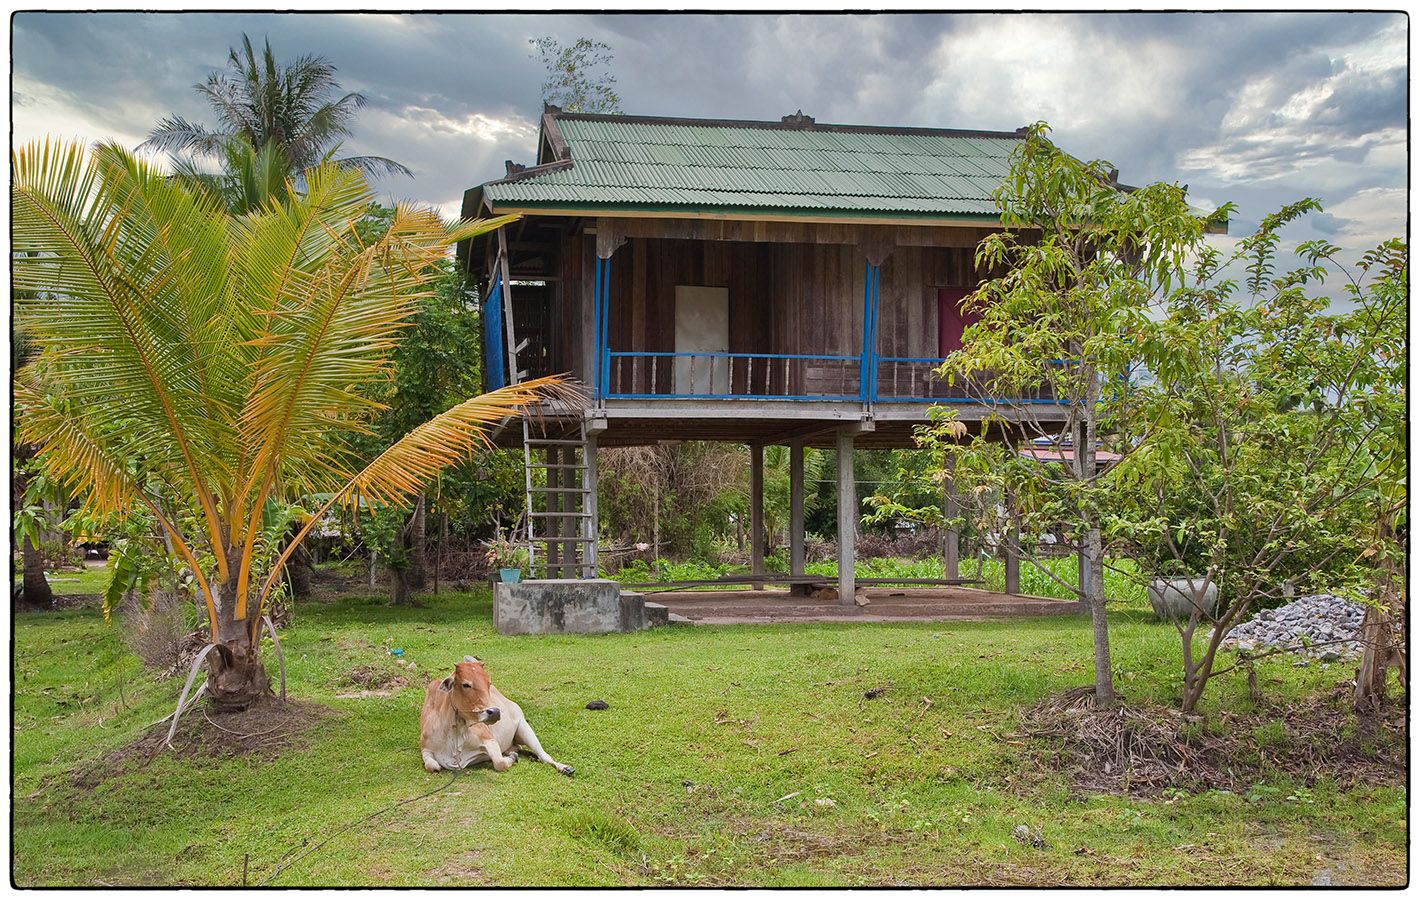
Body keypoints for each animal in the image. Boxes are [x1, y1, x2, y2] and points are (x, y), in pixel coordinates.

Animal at [417, 655, 573, 772]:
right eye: (466, 684)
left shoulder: (489, 739)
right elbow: (432, 766)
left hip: (524, 727)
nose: (495, 712)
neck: (456, 735)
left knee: (544, 756)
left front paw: (511, 759)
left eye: (489, 683)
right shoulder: (425, 748)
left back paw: (565, 768)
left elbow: (499, 763)